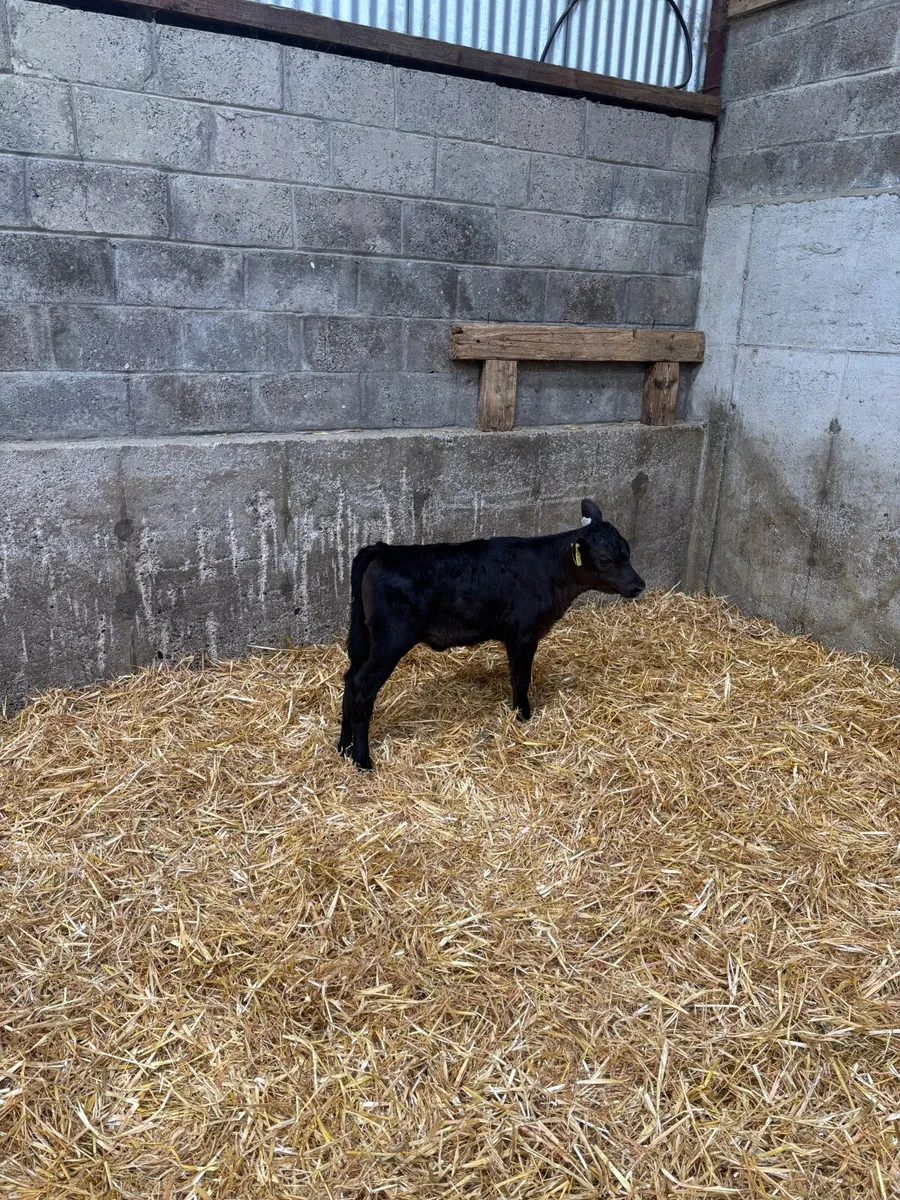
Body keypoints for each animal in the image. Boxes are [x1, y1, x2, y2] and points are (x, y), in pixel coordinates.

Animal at [337, 499, 645, 769]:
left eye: (627, 552)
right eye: (605, 560)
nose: (638, 585)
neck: (549, 568)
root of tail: (382, 549)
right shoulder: (523, 633)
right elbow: (520, 679)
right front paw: (524, 716)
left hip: (365, 638)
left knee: (349, 680)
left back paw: (344, 748)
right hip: (390, 640)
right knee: (361, 688)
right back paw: (363, 761)